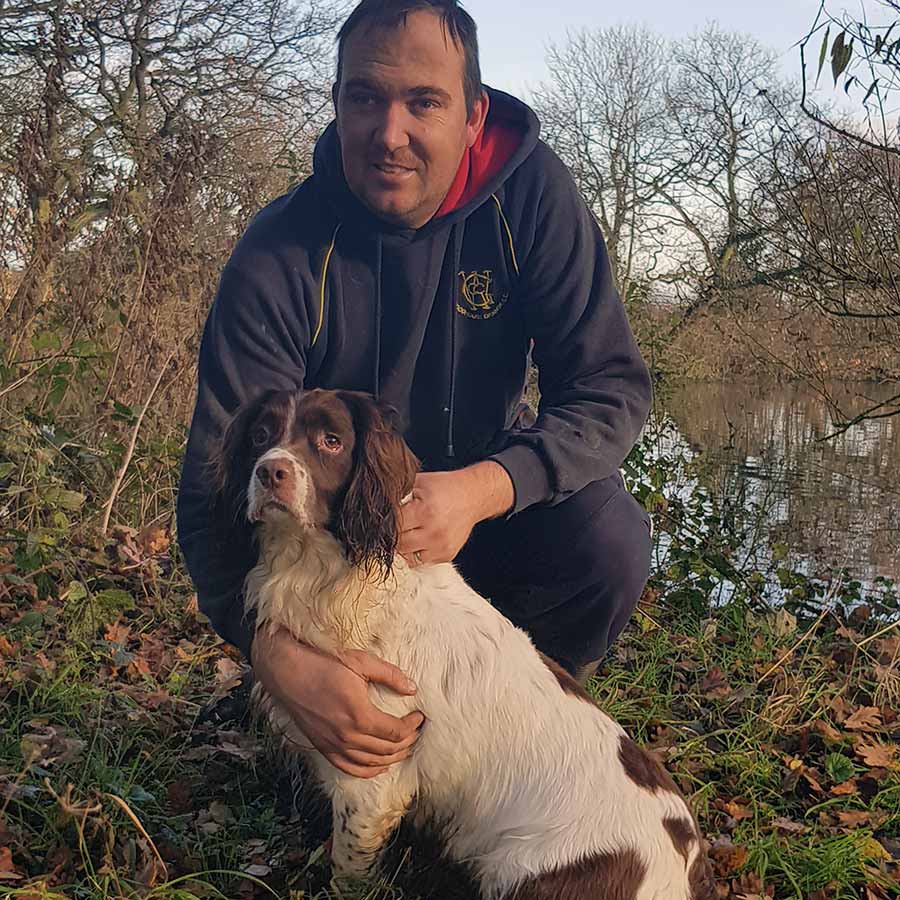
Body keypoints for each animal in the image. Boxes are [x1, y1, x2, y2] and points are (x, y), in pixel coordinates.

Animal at [213, 388, 716, 900]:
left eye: (331, 441)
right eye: (260, 435)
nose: (270, 471)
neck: (330, 574)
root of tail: (682, 864)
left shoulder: (371, 777)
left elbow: (348, 870)